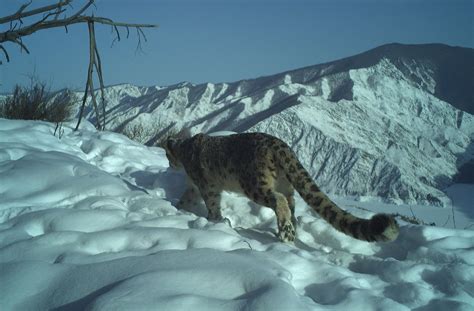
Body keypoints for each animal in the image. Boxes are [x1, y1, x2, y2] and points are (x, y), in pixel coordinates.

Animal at [161, 132, 398, 244]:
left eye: (166, 154)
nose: (168, 164)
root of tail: (282, 146)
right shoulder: (193, 187)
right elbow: (186, 198)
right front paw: (178, 208)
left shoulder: (206, 186)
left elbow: (212, 203)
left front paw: (215, 220)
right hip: (287, 186)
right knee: (292, 208)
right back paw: (290, 230)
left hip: (255, 185)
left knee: (278, 200)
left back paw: (286, 233)